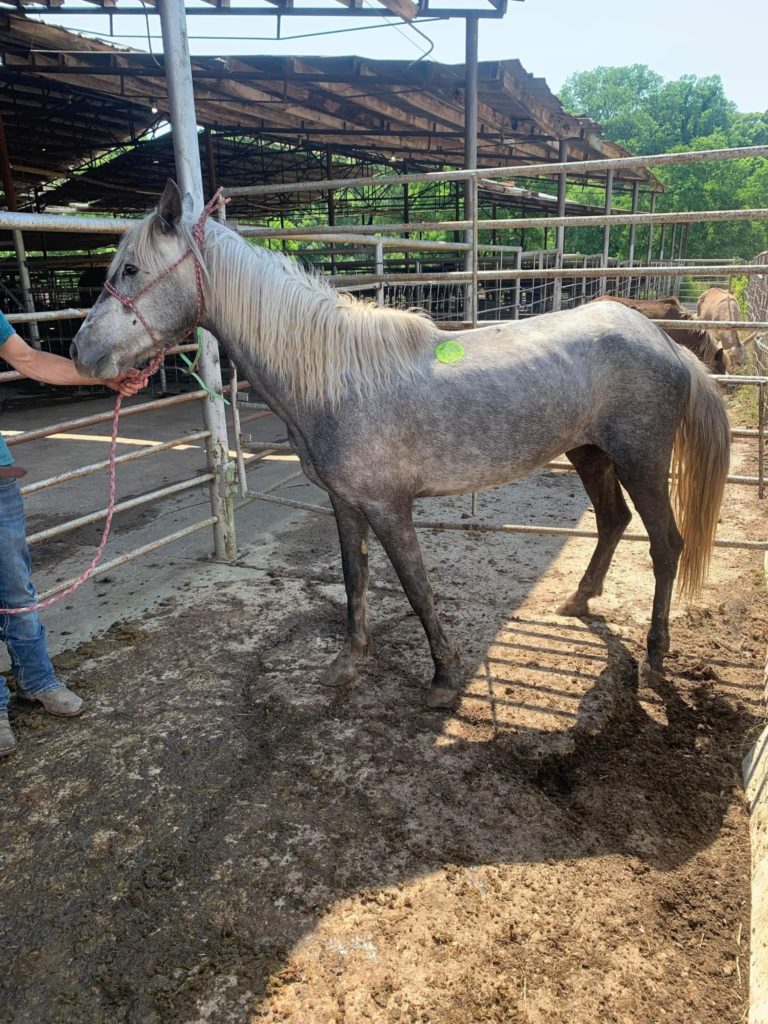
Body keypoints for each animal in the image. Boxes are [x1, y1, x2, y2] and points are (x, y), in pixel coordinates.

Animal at [72, 182, 733, 712]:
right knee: (612, 521)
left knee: (666, 545)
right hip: (590, 453)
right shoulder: (345, 503)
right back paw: (577, 602)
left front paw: (443, 678)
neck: (337, 376)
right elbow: (354, 579)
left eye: (130, 270)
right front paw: (348, 662)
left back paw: (655, 656)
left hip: (641, 462)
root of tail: (663, 341)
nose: (81, 353)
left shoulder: (391, 508)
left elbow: (415, 588)